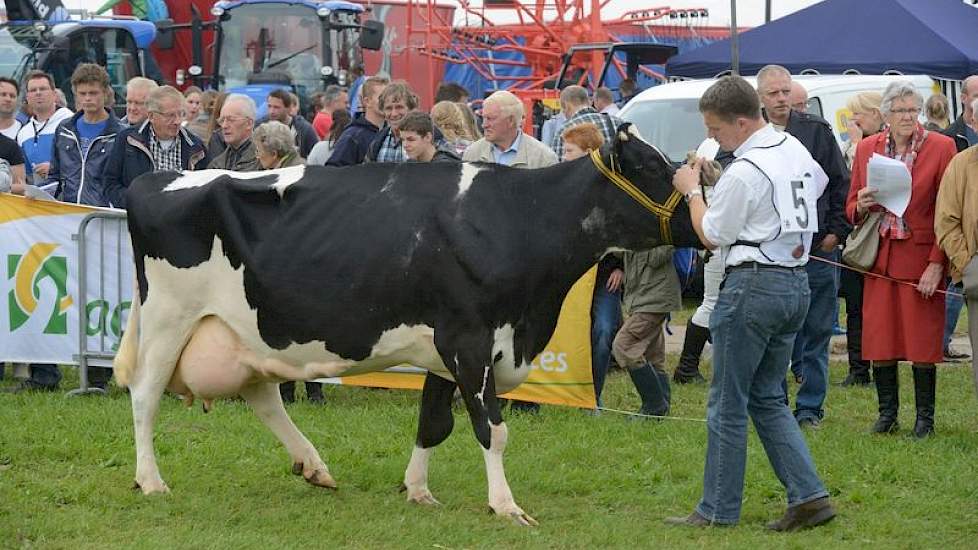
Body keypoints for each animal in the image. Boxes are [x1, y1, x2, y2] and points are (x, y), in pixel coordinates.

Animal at [116, 124, 692, 528]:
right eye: (653, 166)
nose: (697, 214)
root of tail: (153, 178)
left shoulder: (448, 349)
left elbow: (433, 423)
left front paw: (418, 490)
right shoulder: (469, 340)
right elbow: (492, 429)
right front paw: (505, 505)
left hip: (247, 331)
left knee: (263, 396)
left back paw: (313, 465)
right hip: (170, 318)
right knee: (145, 396)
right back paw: (151, 480)